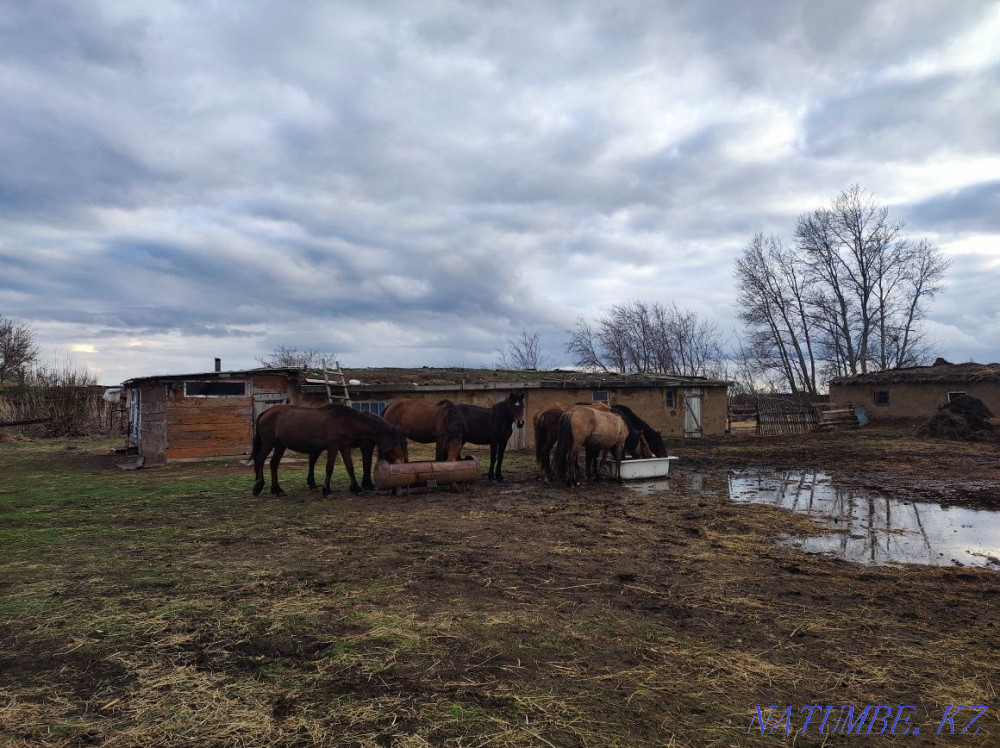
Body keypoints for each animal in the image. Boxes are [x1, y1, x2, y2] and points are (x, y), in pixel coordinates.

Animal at [252, 404, 408, 497]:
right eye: (394, 444)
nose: (401, 461)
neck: (345, 421)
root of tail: (265, 412)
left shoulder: (344, 447)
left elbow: (350, 467)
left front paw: (356, 488)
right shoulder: (333, 447)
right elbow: (329, 468)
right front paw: (327, 490)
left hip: (280, 445)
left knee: (273, 464)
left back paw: (277, 490)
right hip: (269, 443)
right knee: (260, 460)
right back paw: (258, 487)